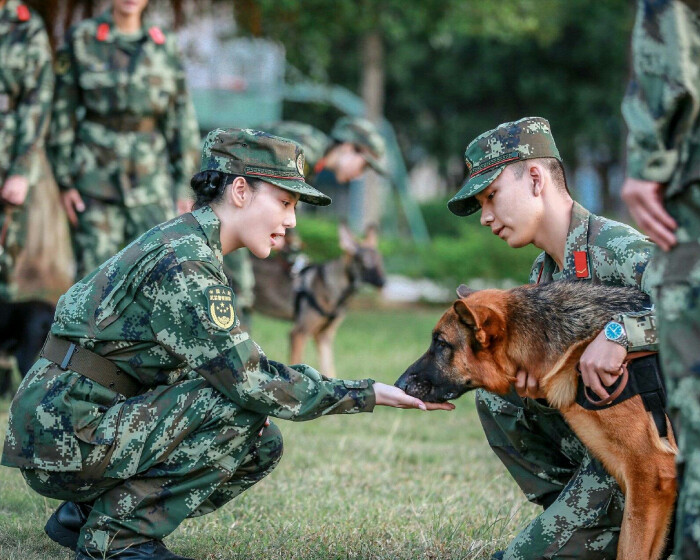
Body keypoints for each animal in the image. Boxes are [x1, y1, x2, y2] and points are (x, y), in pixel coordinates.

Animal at [253, 223, 386, 376]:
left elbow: (329, 370)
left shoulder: (324, 337)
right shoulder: (298, 333)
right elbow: (295, 364)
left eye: (380, 261)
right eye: (365, 262)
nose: (383, 282)